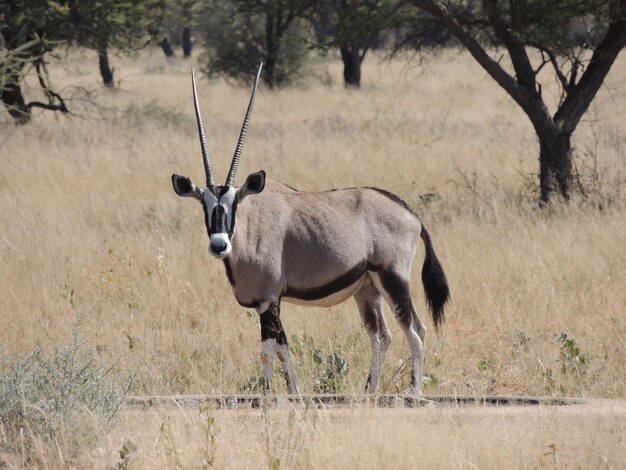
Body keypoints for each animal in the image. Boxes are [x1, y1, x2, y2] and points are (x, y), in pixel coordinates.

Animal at [171, 64, 448, 394]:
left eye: (234, 202)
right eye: (205, 204)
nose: (219, 245)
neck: (250, 230)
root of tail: (411, 215)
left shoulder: (269, 300)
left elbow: (270, 350)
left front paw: (270, 395)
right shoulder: (266, 304)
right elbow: (281, 348)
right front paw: (291, 393)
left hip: (394, 280)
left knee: (416, 330)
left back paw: (414, 391)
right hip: (367, 289)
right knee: (381, 336)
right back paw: (369, 391)